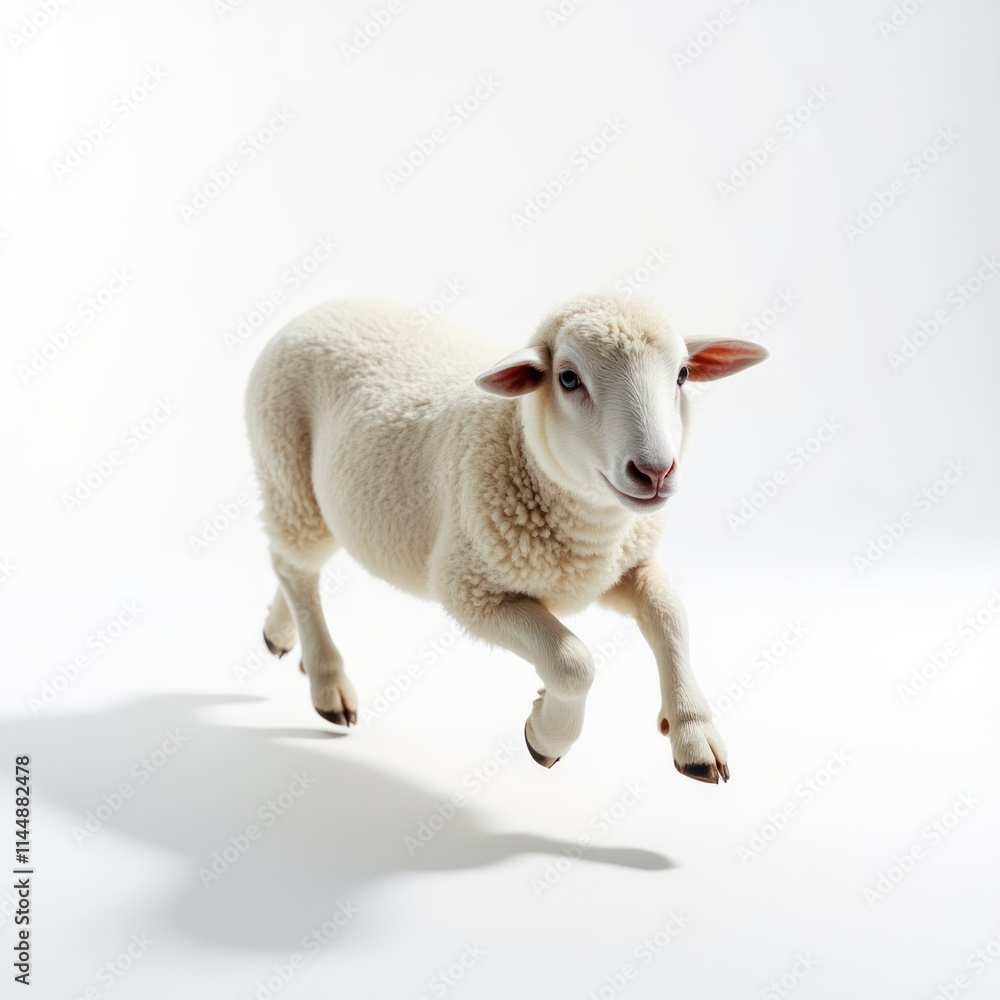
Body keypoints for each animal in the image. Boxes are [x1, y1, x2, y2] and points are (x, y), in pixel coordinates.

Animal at [245, 291, 768, 783]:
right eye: (568, 379)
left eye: (682, 374)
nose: (655, 472)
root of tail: (319, 309)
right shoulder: (470, 590)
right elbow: (573, 661)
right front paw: (547, 736)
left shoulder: (622, 566)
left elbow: (669, 616)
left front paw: (694, 734)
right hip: (289, 475)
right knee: (294, 566)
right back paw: (327, 682)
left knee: (293, 566)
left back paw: (280, 633)